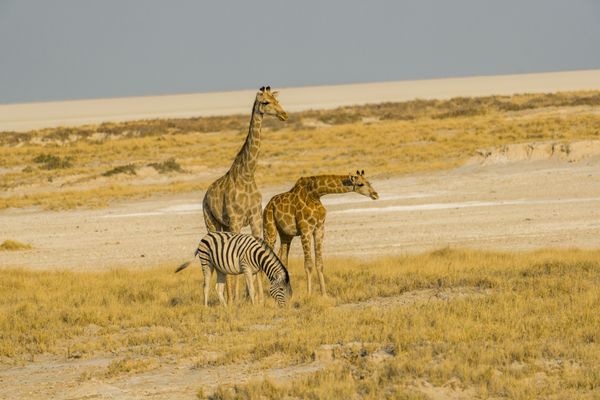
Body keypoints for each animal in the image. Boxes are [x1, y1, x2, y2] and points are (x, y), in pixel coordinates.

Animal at [202, 85, 288, 304]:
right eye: (265, 102)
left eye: (276, 100)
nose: (284, 115)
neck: (248, 174)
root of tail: (205, 195)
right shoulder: (236, 220)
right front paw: (239, 300)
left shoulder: (256, 219)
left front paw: (259, 300)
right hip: (212, 223)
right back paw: (230, 299)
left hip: (224, 226)